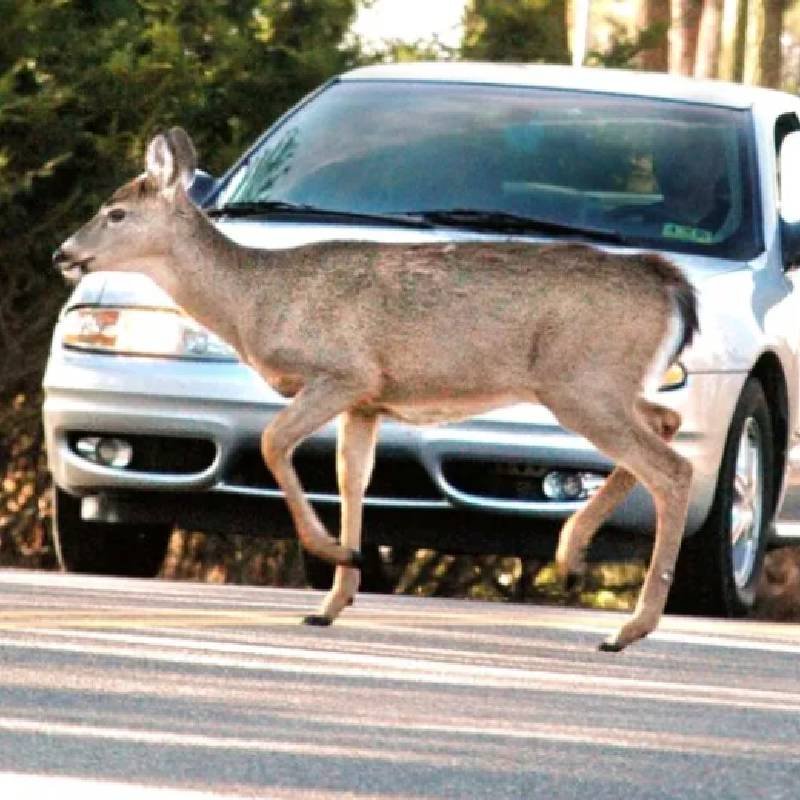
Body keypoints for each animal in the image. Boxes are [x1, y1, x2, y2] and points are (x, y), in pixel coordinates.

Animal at [53, 128, 697, 652]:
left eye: (115, 213)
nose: (64, 254)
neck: (257, 301)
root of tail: (670, 286)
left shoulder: (344, 373)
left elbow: (272, 443)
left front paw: (336, 556)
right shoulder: (367, 402)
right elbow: (351, 480)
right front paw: (332, 602)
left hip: (581, 382)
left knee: (673, 468)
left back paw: (626, 627)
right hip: (605, 385)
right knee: (665, 425)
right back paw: (573, 556)